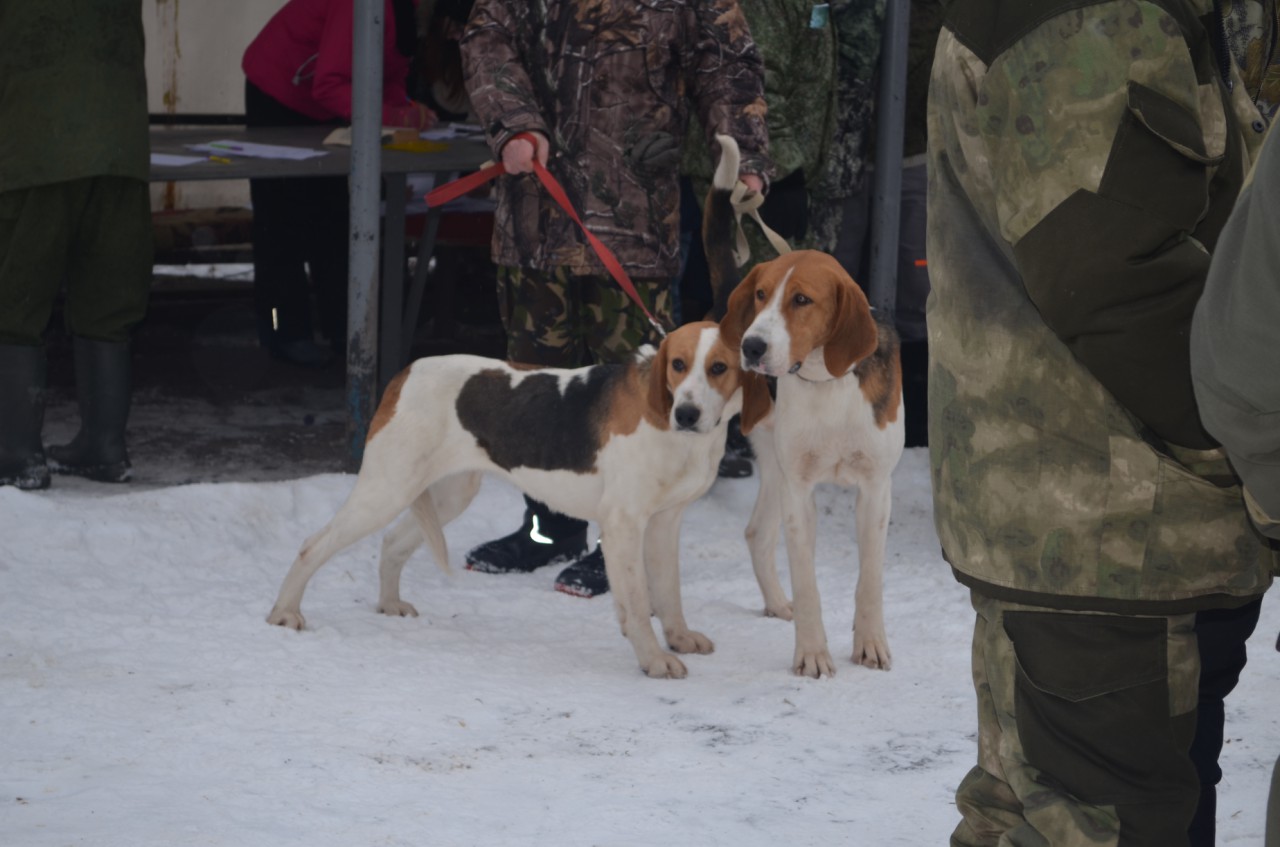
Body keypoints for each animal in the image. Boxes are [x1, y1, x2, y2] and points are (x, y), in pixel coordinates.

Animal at [719, 246, 904, 678]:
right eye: (761, 294)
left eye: (801, 300)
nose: (751, 347)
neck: (827, 381)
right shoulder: (799, 492)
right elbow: (807, 586)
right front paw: (812, 654)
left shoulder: (875, 488)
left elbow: (870, 581)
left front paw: (870, 643)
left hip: (774, 468)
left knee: (757, 533)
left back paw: (775, 603)